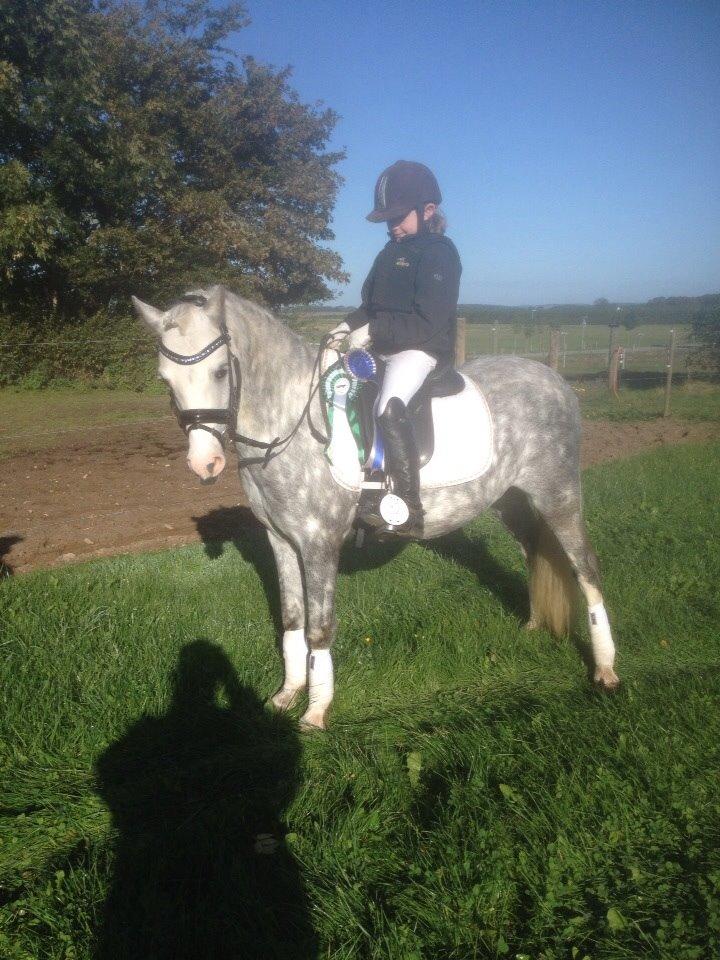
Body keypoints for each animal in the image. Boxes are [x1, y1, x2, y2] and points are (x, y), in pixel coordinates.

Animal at [132, 285, 619, 730]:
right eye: (165, 379)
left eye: (219, 372)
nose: (204, 464)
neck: (289, 423)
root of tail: (554, 380)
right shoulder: (281, 541)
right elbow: (291, 619)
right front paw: (285, 695)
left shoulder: (319, 543)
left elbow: (319, 627)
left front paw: (315, 712)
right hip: (510, 500)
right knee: (533, 553)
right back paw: (534, 630)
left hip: (558, 495)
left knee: (586, 569)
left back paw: (606, 670)